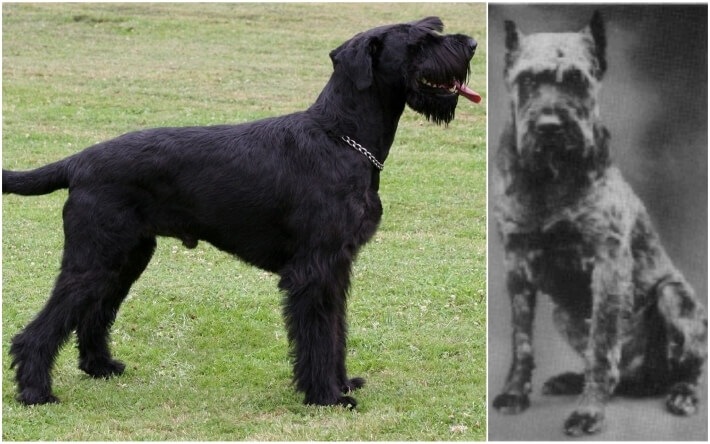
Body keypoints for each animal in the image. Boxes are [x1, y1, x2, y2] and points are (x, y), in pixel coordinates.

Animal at [2, 17, 482, 408]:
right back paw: (36, 392)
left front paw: (343, 383)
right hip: (96, 258)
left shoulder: (338, 267)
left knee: (93, 313)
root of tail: (77, 161)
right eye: (419, 41)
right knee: (42, 327)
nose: (473, 43)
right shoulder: (314, 269)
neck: (342, 135)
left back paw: (101, 367)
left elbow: (336, 330)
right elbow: (317, 334)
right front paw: (326, 397)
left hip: (125, 259)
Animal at [492, 11, 708, 438]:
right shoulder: (517, 265)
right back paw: (570, 380)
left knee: (687, 368)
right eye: (527, 80)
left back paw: (682, 395)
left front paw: (589, 411)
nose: (549, 126)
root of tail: (646, 380)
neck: (551, 179)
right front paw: (514, 393)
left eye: (578, 79)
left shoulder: (607, 266)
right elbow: (521, 340)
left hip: (674, 297)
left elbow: (602, 347)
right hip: (564, 315)